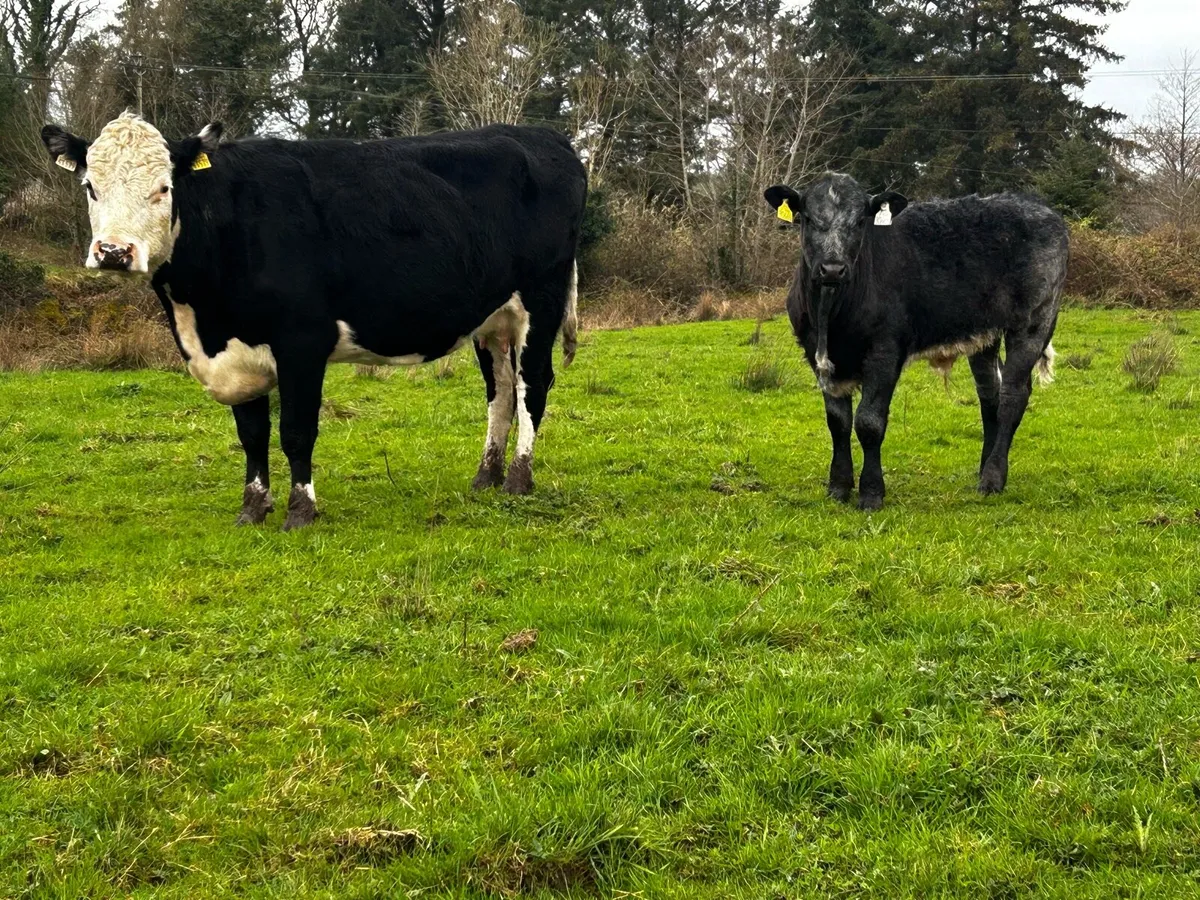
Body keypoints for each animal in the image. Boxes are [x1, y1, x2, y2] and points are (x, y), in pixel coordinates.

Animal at [42, 112, 586, 530]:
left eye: (163, 188)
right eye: (90, 187)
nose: (114, 252)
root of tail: (545, 135)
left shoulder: (302, 341)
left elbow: (296, 431)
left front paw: (300, 511)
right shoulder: (241, 351)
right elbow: (252, 434)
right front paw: (252, 508)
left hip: (541, 300)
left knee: (532, 386)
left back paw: (518, 478)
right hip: (493, 319)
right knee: (500, 392)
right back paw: (485, 476)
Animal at [763, 173, 1067, 510]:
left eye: (860, 221)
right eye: (808, 218)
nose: (832, 268)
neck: (832, 317)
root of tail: (1035, 204)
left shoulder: (885, 351)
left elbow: (868, 422)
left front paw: (871, 493)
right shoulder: (818, 355)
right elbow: (837, 422)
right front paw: (839, 487)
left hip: (1035, 320)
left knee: (1013, 396)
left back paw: (993, 479)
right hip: (984, 335)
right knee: (991, 394)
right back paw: (984, 469)